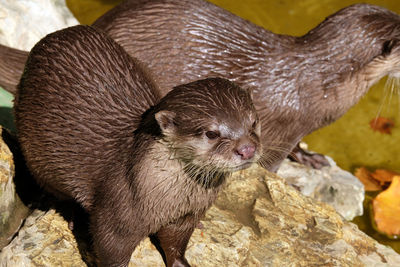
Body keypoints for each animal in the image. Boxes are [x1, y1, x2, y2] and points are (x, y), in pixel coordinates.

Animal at [14, 25, 260, 267]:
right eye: (211, 133)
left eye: (253, 122)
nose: (247, 149)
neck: (170, 199)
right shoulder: (118, 213)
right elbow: (111, 247)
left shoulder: (186, 217)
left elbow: (176, 244)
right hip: (36, 155)